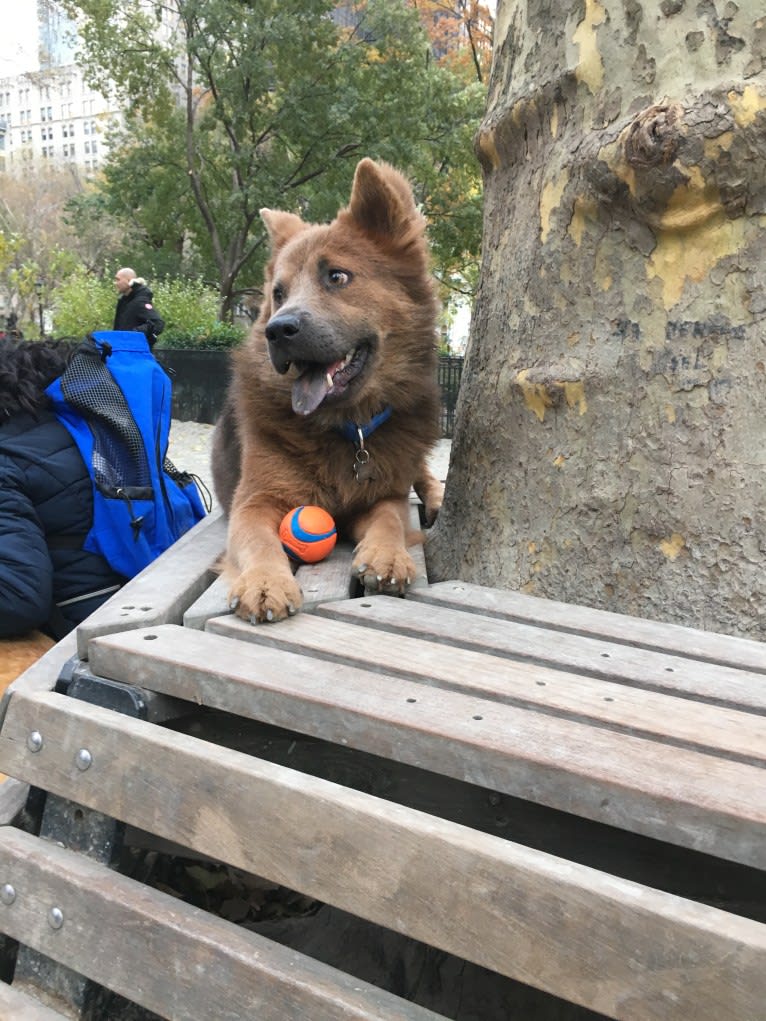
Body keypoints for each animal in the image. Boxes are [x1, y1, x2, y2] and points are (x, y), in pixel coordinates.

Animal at [213, 158, 447, 620]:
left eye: (337, 276)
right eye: (278, 293)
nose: (277, 331)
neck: (348, 429)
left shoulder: (385, 493)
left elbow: (391, 518)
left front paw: (386, 554)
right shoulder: (253, 502)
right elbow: (259, 541)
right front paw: (265, 582)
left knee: (423, 473)